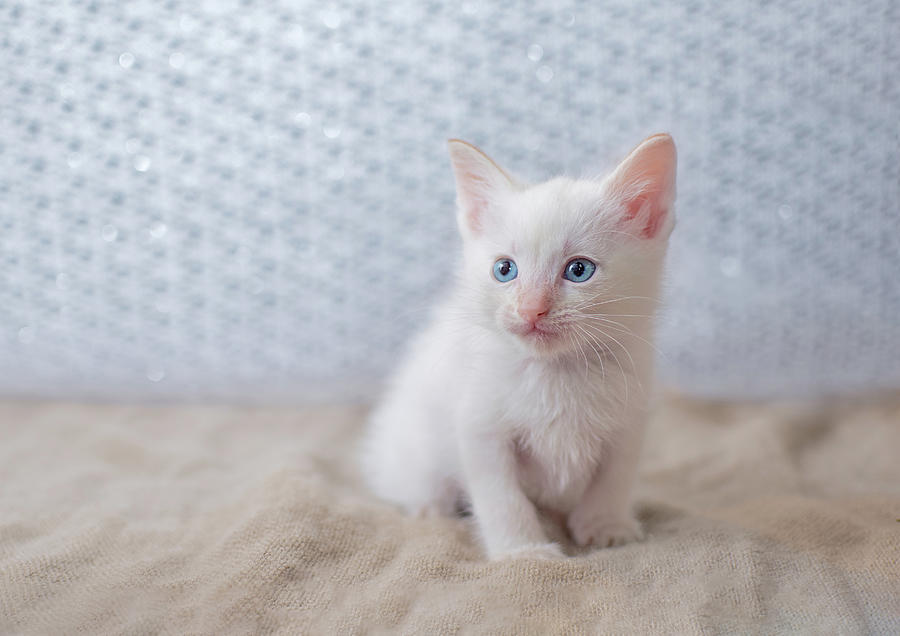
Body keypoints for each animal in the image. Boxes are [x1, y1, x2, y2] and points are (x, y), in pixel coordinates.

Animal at [362, 133, 672, 556]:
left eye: (579, 270)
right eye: (504, 270)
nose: (531, 309)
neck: (556, 371)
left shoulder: (629, 420)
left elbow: (614, 479)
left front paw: (605, 525)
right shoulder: (480, 427)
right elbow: (502, 497)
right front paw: (523, 550)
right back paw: (429, 506)